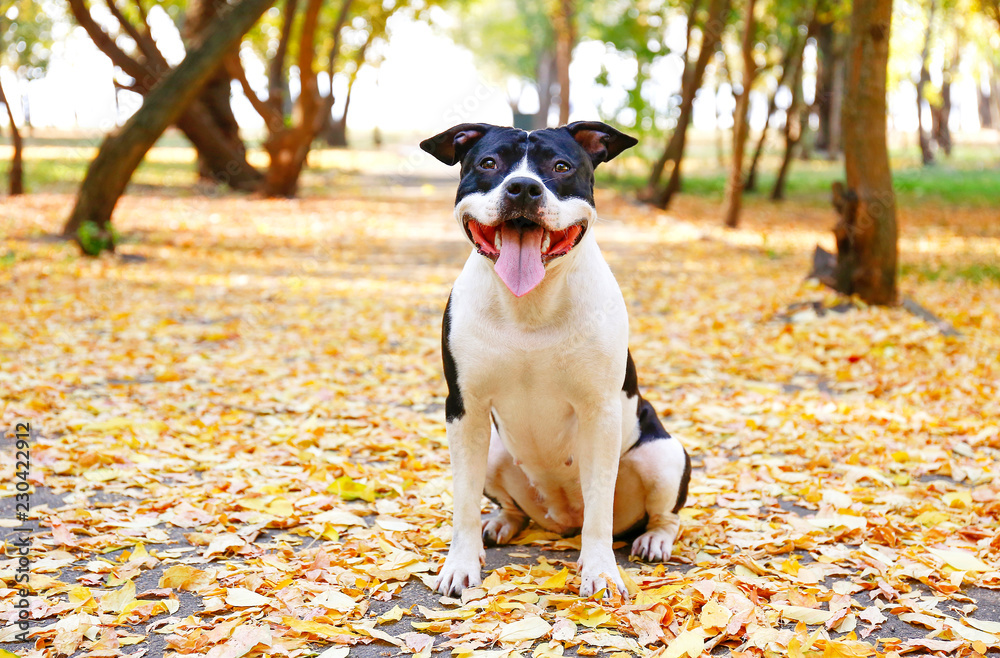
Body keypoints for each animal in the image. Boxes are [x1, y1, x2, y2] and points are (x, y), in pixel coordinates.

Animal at [418, 121, 692, 596]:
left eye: (561, 167)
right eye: (488, 163)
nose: (524, 187)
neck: (530, 305)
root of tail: (563, 522)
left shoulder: (600, 411)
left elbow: (600, 505)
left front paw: (601, 572)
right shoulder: (465, 410)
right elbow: (464, 500)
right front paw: (460, 564)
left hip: (664, 455)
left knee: (662, 515)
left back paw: (654, 539)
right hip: (494, 451)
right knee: (512, 506)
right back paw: (501, 522)